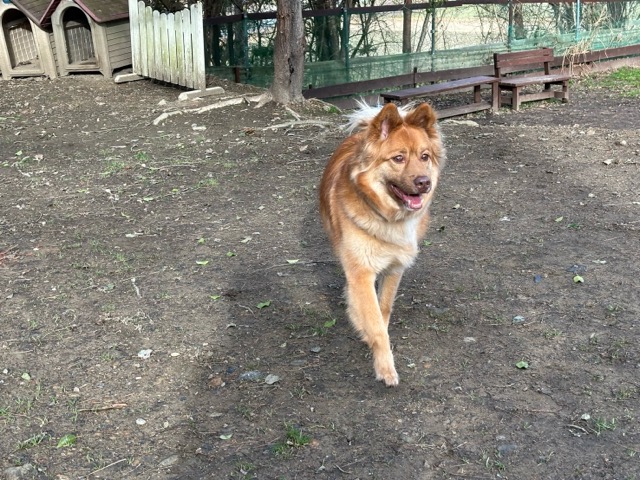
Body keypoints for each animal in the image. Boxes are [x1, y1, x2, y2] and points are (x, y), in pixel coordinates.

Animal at [319, 102, 445, 386]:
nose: (424, 183)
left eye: (424, 156)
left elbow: (383, 309)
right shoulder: (361, 271)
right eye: (398, 158)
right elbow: (375, 323)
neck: (388, 219)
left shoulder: (395, 267)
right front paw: (385, 367)